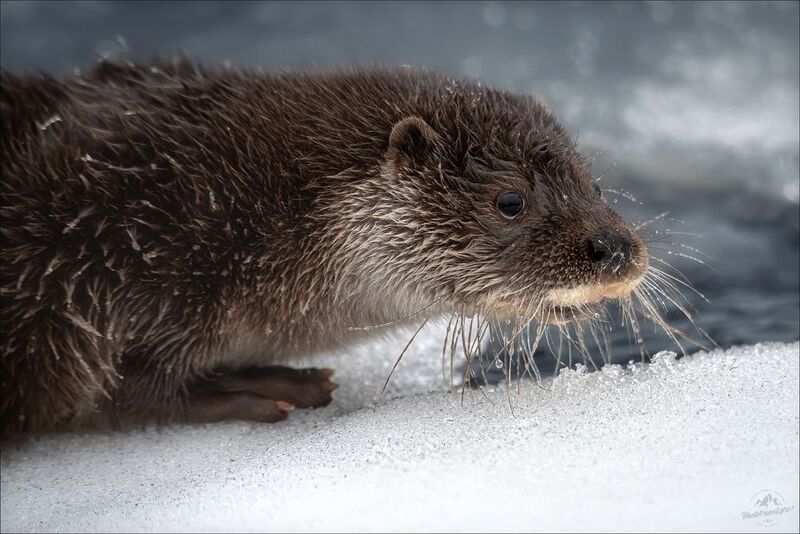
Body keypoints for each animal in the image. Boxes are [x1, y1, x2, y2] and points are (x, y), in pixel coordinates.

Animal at [0, 60, 648, 439]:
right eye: (510, 201)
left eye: (592, 184)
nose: (614, 248)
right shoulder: (113, 276)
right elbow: (130, 390)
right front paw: (267, 389)